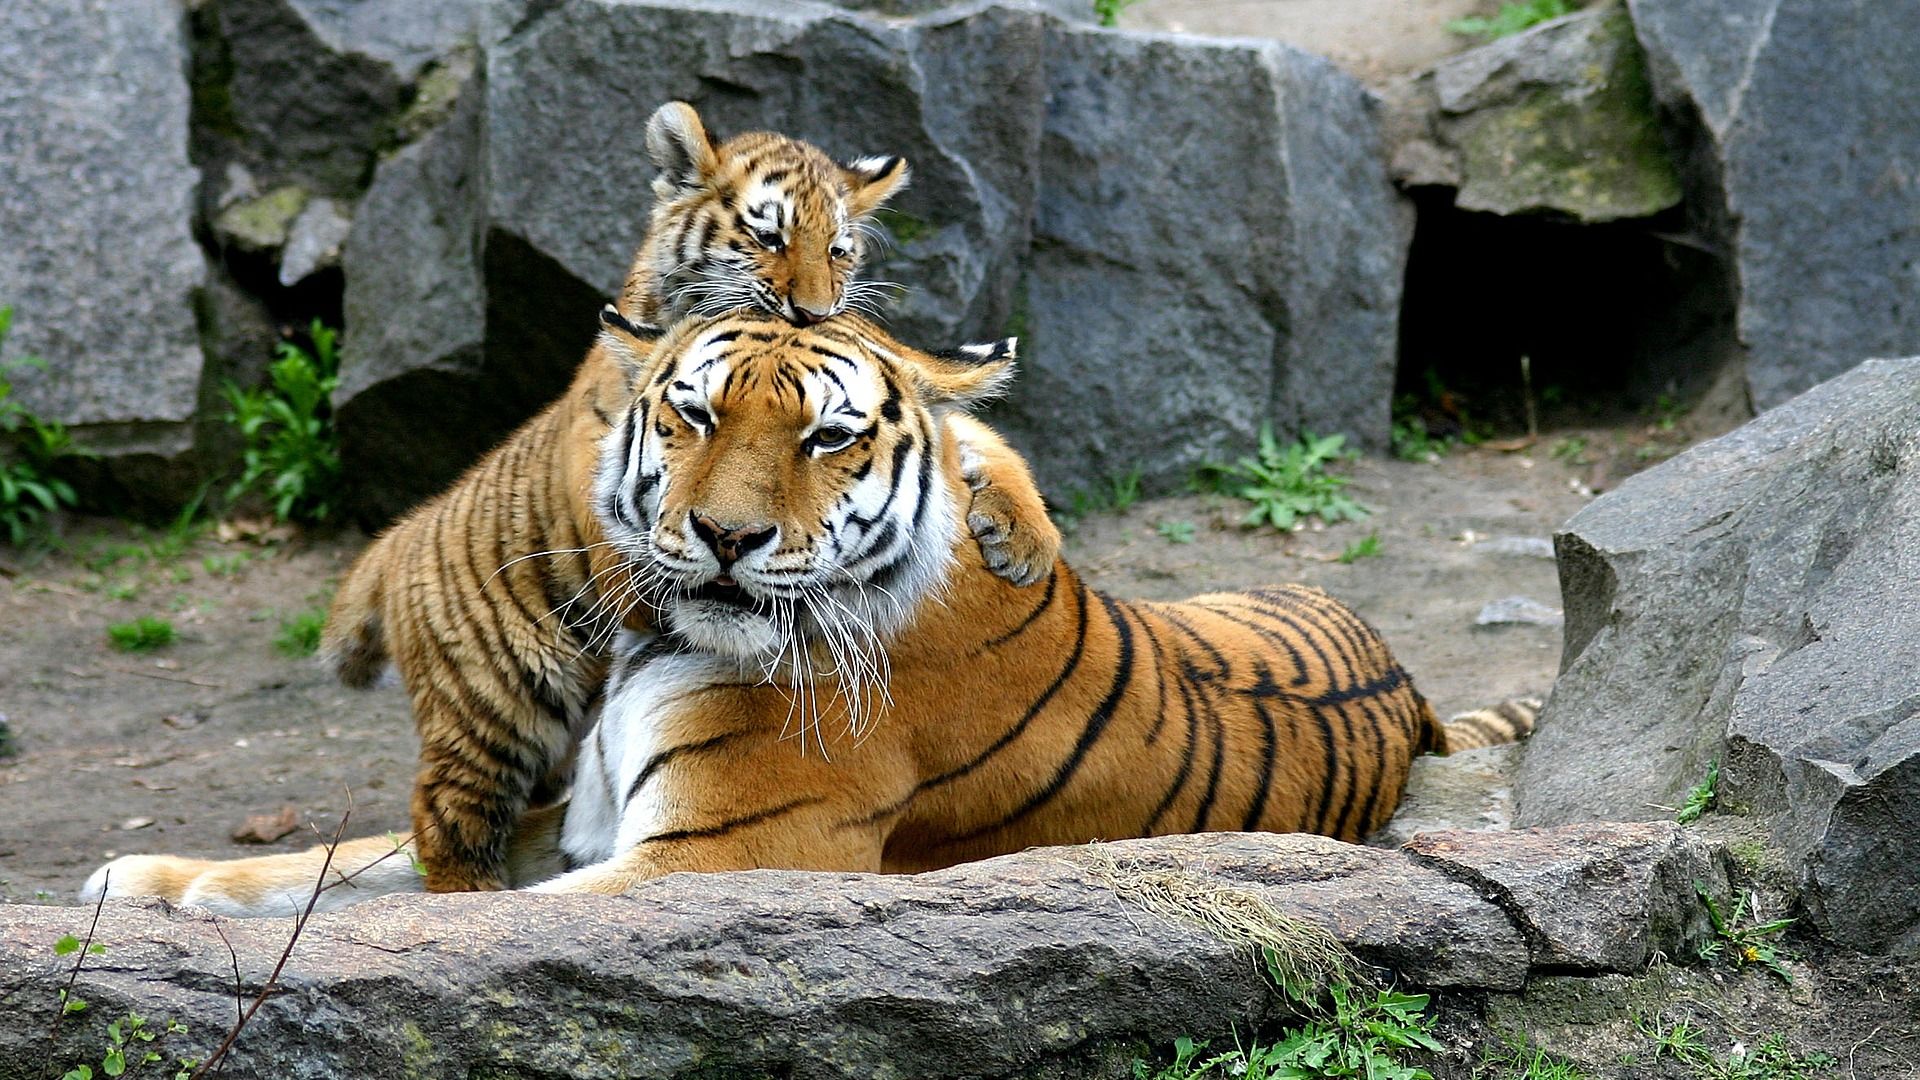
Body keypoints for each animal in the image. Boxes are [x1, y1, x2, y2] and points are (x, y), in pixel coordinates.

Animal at [85, 311, 1532, 915]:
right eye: (693, 413)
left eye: (829, 437)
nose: (725, 538)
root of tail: (1410, 691)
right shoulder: (571, 821)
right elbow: (338, 862)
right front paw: (144, 884)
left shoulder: (707, 859)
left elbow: (440, 918)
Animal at [316, 104, 1055, 893]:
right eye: (770, 237)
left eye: (839, 251)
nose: (814, 311)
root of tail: (400, 537)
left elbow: (973, 434)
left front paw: (1025, 539)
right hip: (493, 708)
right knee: (448, 818)